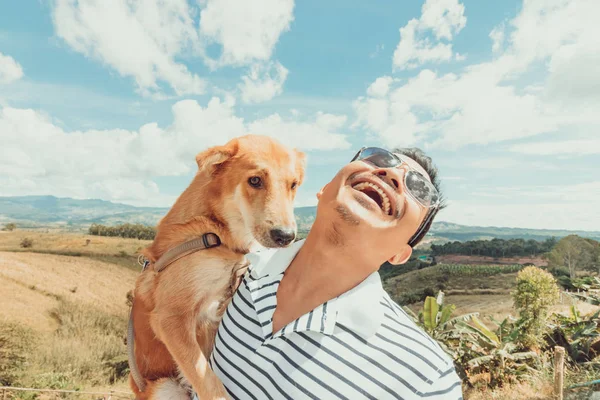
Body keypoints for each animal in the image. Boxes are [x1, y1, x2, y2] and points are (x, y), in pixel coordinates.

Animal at [127, 135, 304, 400]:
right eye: (255, 180)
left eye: (293, 185)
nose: (286, 237)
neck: (215, 233)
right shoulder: (171, 317)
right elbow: (208, 380)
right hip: (164, 387)